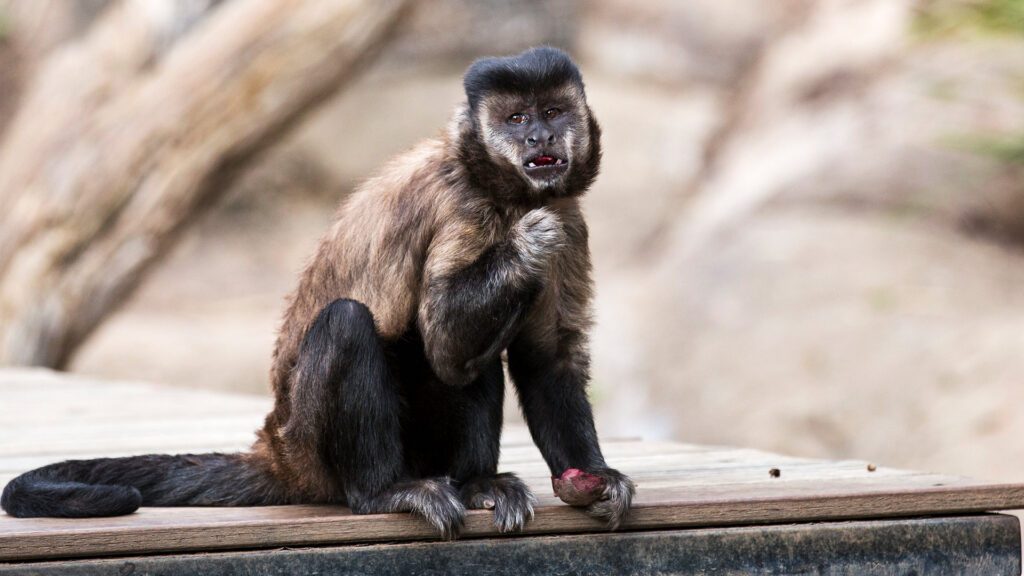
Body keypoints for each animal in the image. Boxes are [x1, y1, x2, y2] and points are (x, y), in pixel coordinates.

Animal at [2, 47, 630, 537]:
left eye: (552, 112)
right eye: (516, 117)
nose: (540, 136)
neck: (506, 194)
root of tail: (275, 446)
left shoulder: (569, 218)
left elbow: (546, 358)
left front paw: (591, 475)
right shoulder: (463, 206)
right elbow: (445, 344)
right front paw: (525, 243)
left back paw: (476, 482)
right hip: (309, 448)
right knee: (352, 324)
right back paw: (383, 492)